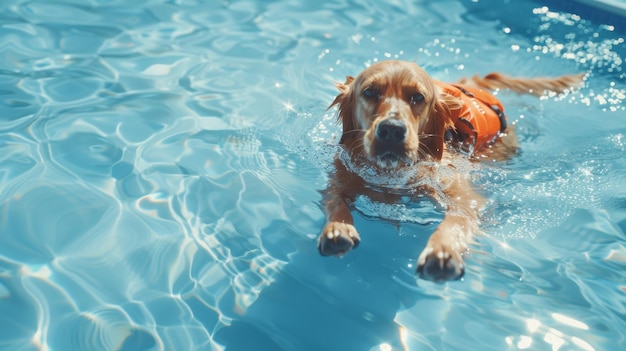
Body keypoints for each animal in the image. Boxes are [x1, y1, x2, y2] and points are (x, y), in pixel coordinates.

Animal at [314, 59, 584, 282]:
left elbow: (456, 221)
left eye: (418, 97)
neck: (393, 174)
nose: (391, 129)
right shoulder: (341, 175)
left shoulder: (462, 196)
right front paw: (337, 228)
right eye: (370, 92)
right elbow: (334, 199)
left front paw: (442, 251)